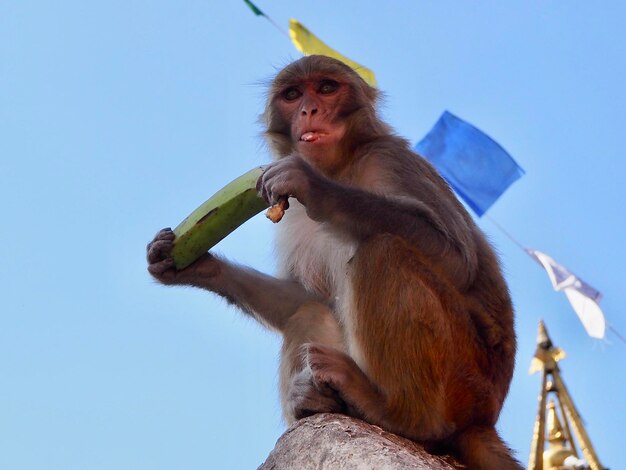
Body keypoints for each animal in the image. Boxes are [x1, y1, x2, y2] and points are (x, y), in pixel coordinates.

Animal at [145, 56, 516, 470]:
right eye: (292, 95)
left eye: (326, 88)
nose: (309, 110)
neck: (341, 166)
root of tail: (485, 415)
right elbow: (303, 296)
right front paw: (196, 266)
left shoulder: (392, 160)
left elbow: (459, 261)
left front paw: (314, 186)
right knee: (309, 311)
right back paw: (315, 402)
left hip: (462, 377)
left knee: (383, 251)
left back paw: (402, 416)